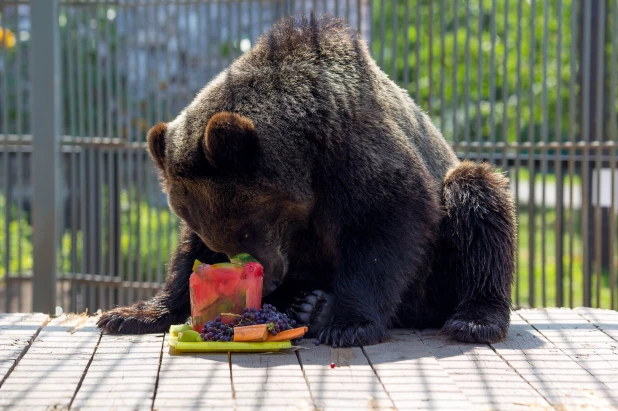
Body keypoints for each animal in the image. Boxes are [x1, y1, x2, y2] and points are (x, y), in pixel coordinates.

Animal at [97, 13, 516, 348]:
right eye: (221, 239)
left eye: (247, 229)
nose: (268, 282)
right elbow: (187, 256)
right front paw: (132, 313)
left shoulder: (356, 154)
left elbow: (386, 225)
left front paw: (350, 325)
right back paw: (309, 305)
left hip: (441, 263)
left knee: (476, 200)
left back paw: (472, 318)